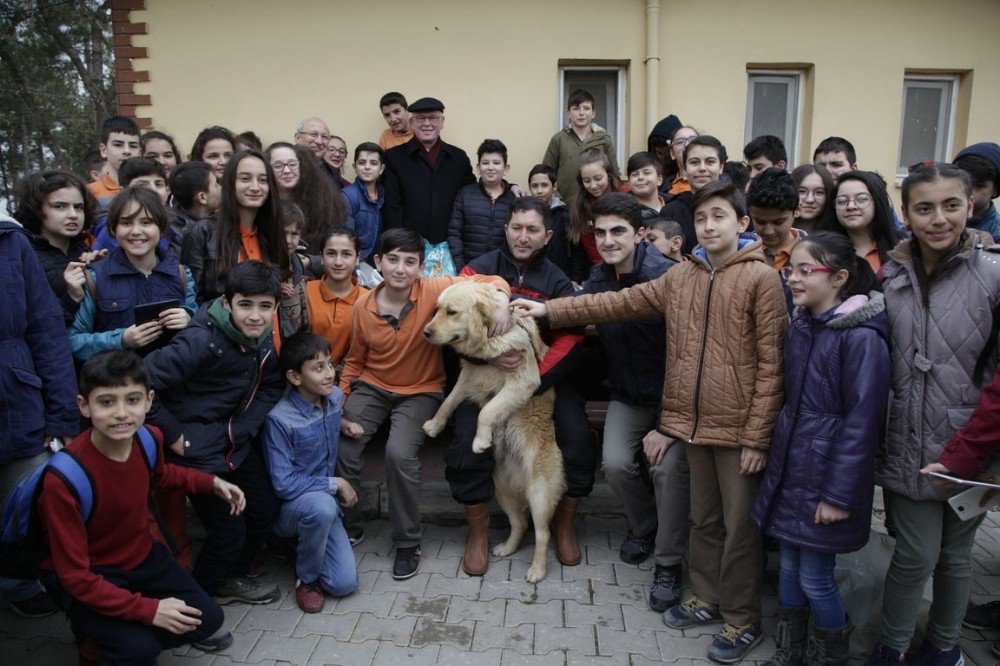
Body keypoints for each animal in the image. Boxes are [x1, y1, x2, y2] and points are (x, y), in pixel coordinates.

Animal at [418, 280, 568, 580]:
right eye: (437, 309)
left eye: (451, 312)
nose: (426, 332)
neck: (489, 335)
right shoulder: (469, 375)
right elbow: (449, 400)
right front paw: (435, 425)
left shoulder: (522, 381)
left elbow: (487, 411)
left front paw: (480, 440)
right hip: (503, 490)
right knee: (520, 523)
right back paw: (506, 548)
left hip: (540, 493)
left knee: (543, 533)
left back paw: (537, 570)